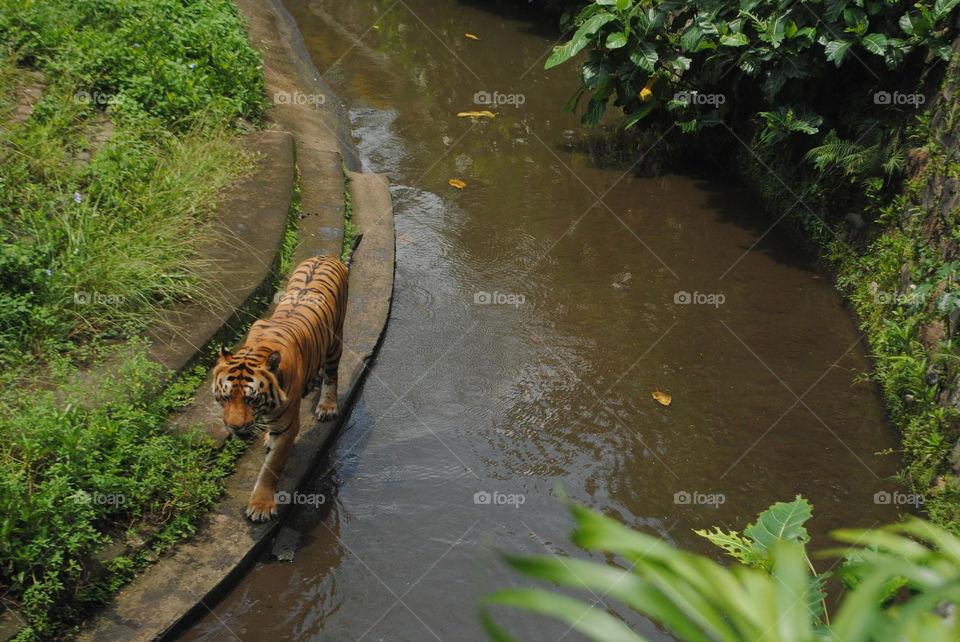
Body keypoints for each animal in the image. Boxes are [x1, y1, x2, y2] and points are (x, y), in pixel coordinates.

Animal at [212, 254, 349, 522]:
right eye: (225, 398)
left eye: (251, 399)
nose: (234, 427)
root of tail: (325, 255)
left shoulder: (288, 425)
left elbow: (271, 467)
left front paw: (261, 506)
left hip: (334, 341)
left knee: (331, 375)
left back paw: (327, 405)